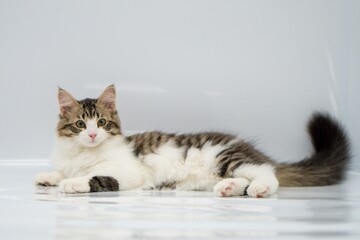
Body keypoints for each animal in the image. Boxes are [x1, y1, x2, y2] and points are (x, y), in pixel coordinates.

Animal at [33, 85, 348, 198]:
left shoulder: (131, 172)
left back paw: (258, 189)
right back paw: (230, 188)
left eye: (101, 123)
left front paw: (72, 184)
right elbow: (62, 170)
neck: (82, 153)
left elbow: (96, 177)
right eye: (80, 125)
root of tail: (251, 149)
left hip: (225, 157)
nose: (92, 134)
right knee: (244, 178)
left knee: (267, 174)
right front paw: (48, 177)